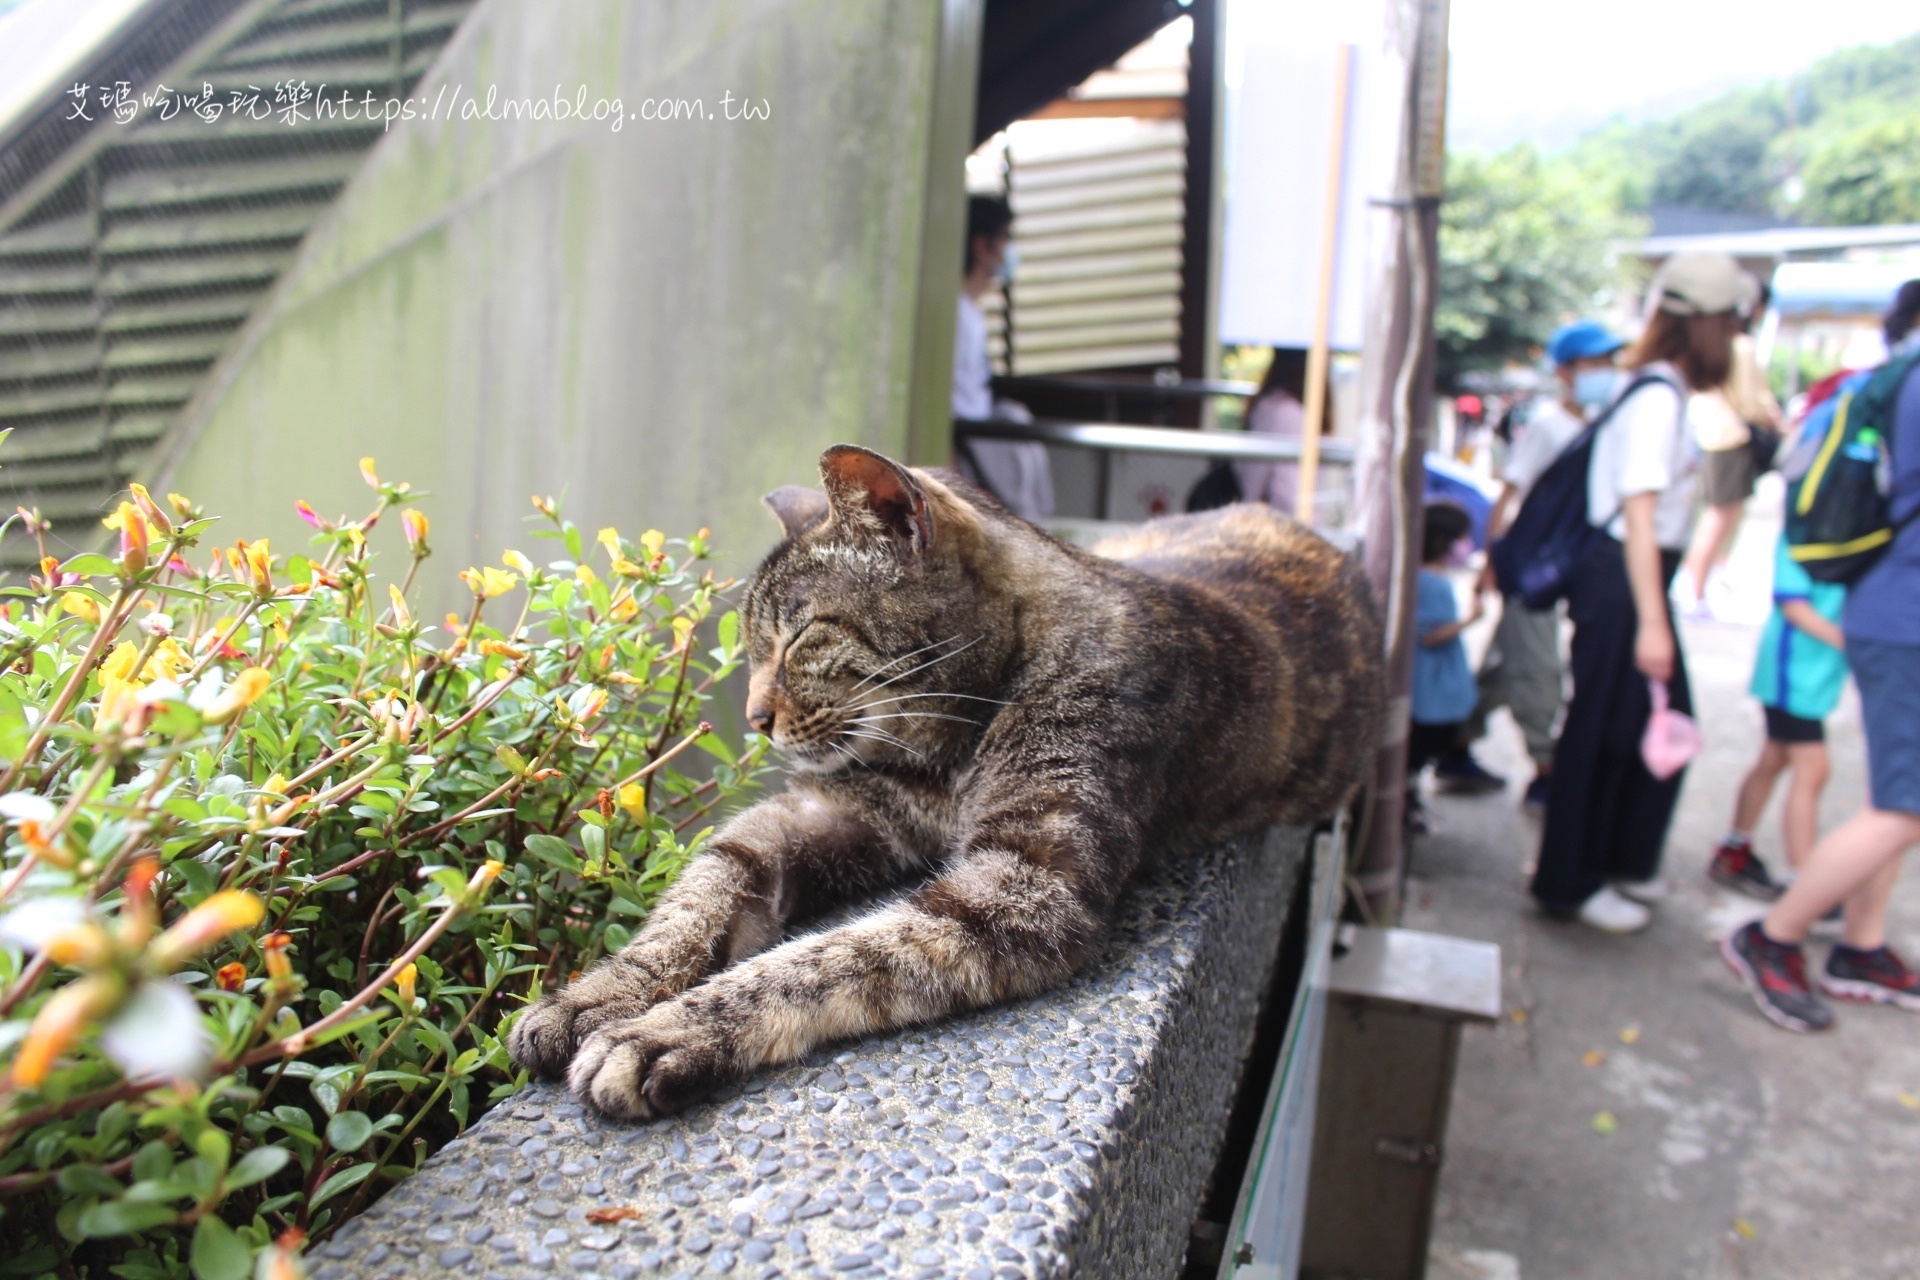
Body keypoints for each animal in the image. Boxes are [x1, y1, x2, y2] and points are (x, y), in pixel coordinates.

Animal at [510, 445, 1382, 1113]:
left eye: (800, 639)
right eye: (753, 649)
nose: (754, 718)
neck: (948, 753)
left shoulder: (1023, 888)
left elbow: (823, 961)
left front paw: (667, 1030)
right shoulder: (816, 815)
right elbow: (697, 900)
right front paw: (597, 995)